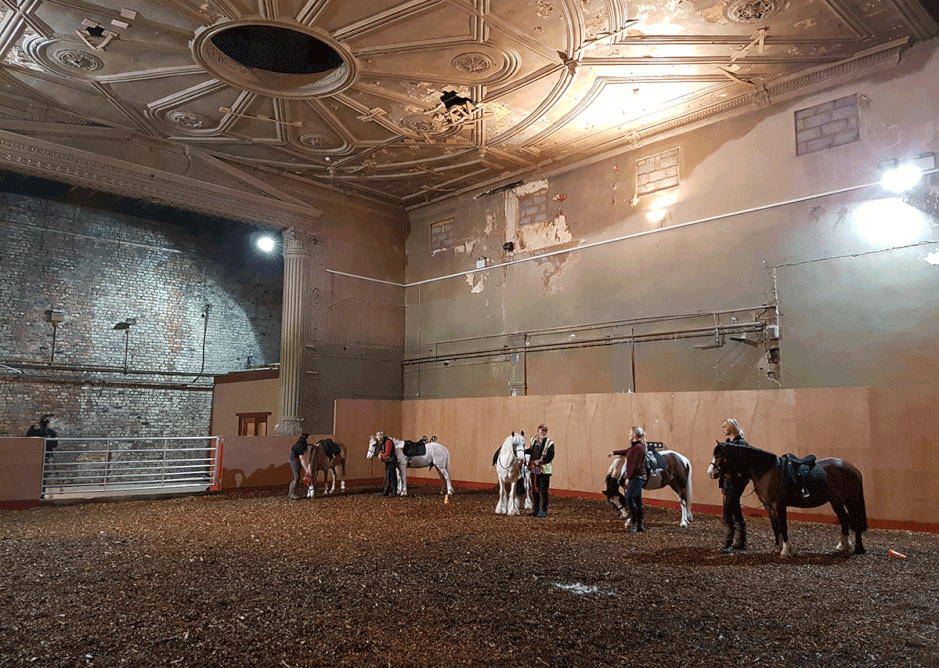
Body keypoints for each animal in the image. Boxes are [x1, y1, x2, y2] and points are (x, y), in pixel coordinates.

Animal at [708, 440, 872, 556]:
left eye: (720, 456)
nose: (711, 473)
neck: (767, 471)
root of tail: (852, 467)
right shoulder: (769, 506)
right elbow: (775, 527)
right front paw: (777, 548)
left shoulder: (779, 505)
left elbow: (783, 526)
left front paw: (786, 551)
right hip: (835, 500)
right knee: (844, 520)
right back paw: (843, 547)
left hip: (850, 500)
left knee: (855, 521)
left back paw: (858, 549)